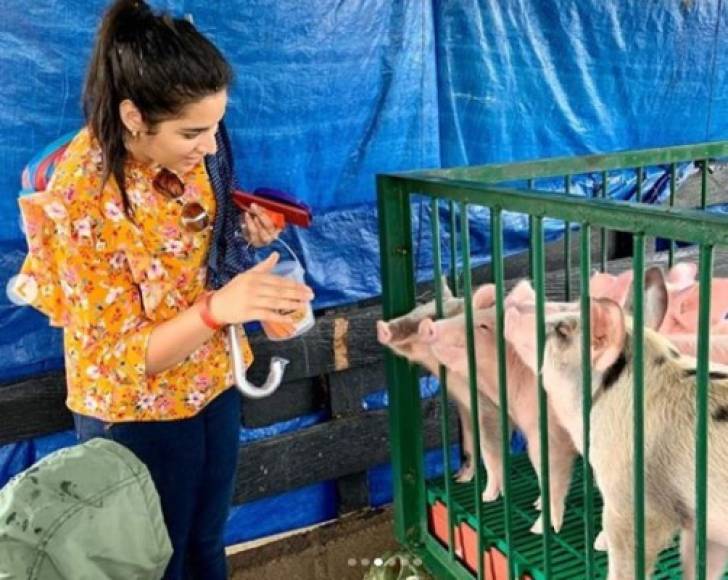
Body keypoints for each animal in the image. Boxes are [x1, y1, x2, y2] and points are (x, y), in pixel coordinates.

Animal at [378, 280, 510, 498]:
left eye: (434, 318)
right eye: (416, 309)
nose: (382, 326)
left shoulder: (492, 405)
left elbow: (490, 449)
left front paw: (488, 496)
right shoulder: (464, 403)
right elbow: (469, 441)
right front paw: (461, 479)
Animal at [418, 282, 576, 536]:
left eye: (483, 326)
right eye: (464, 314)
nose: (428, 325)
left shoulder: (551, 435)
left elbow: (551, 475)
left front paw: (539, 529)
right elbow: (494, 453)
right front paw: (488, 498)